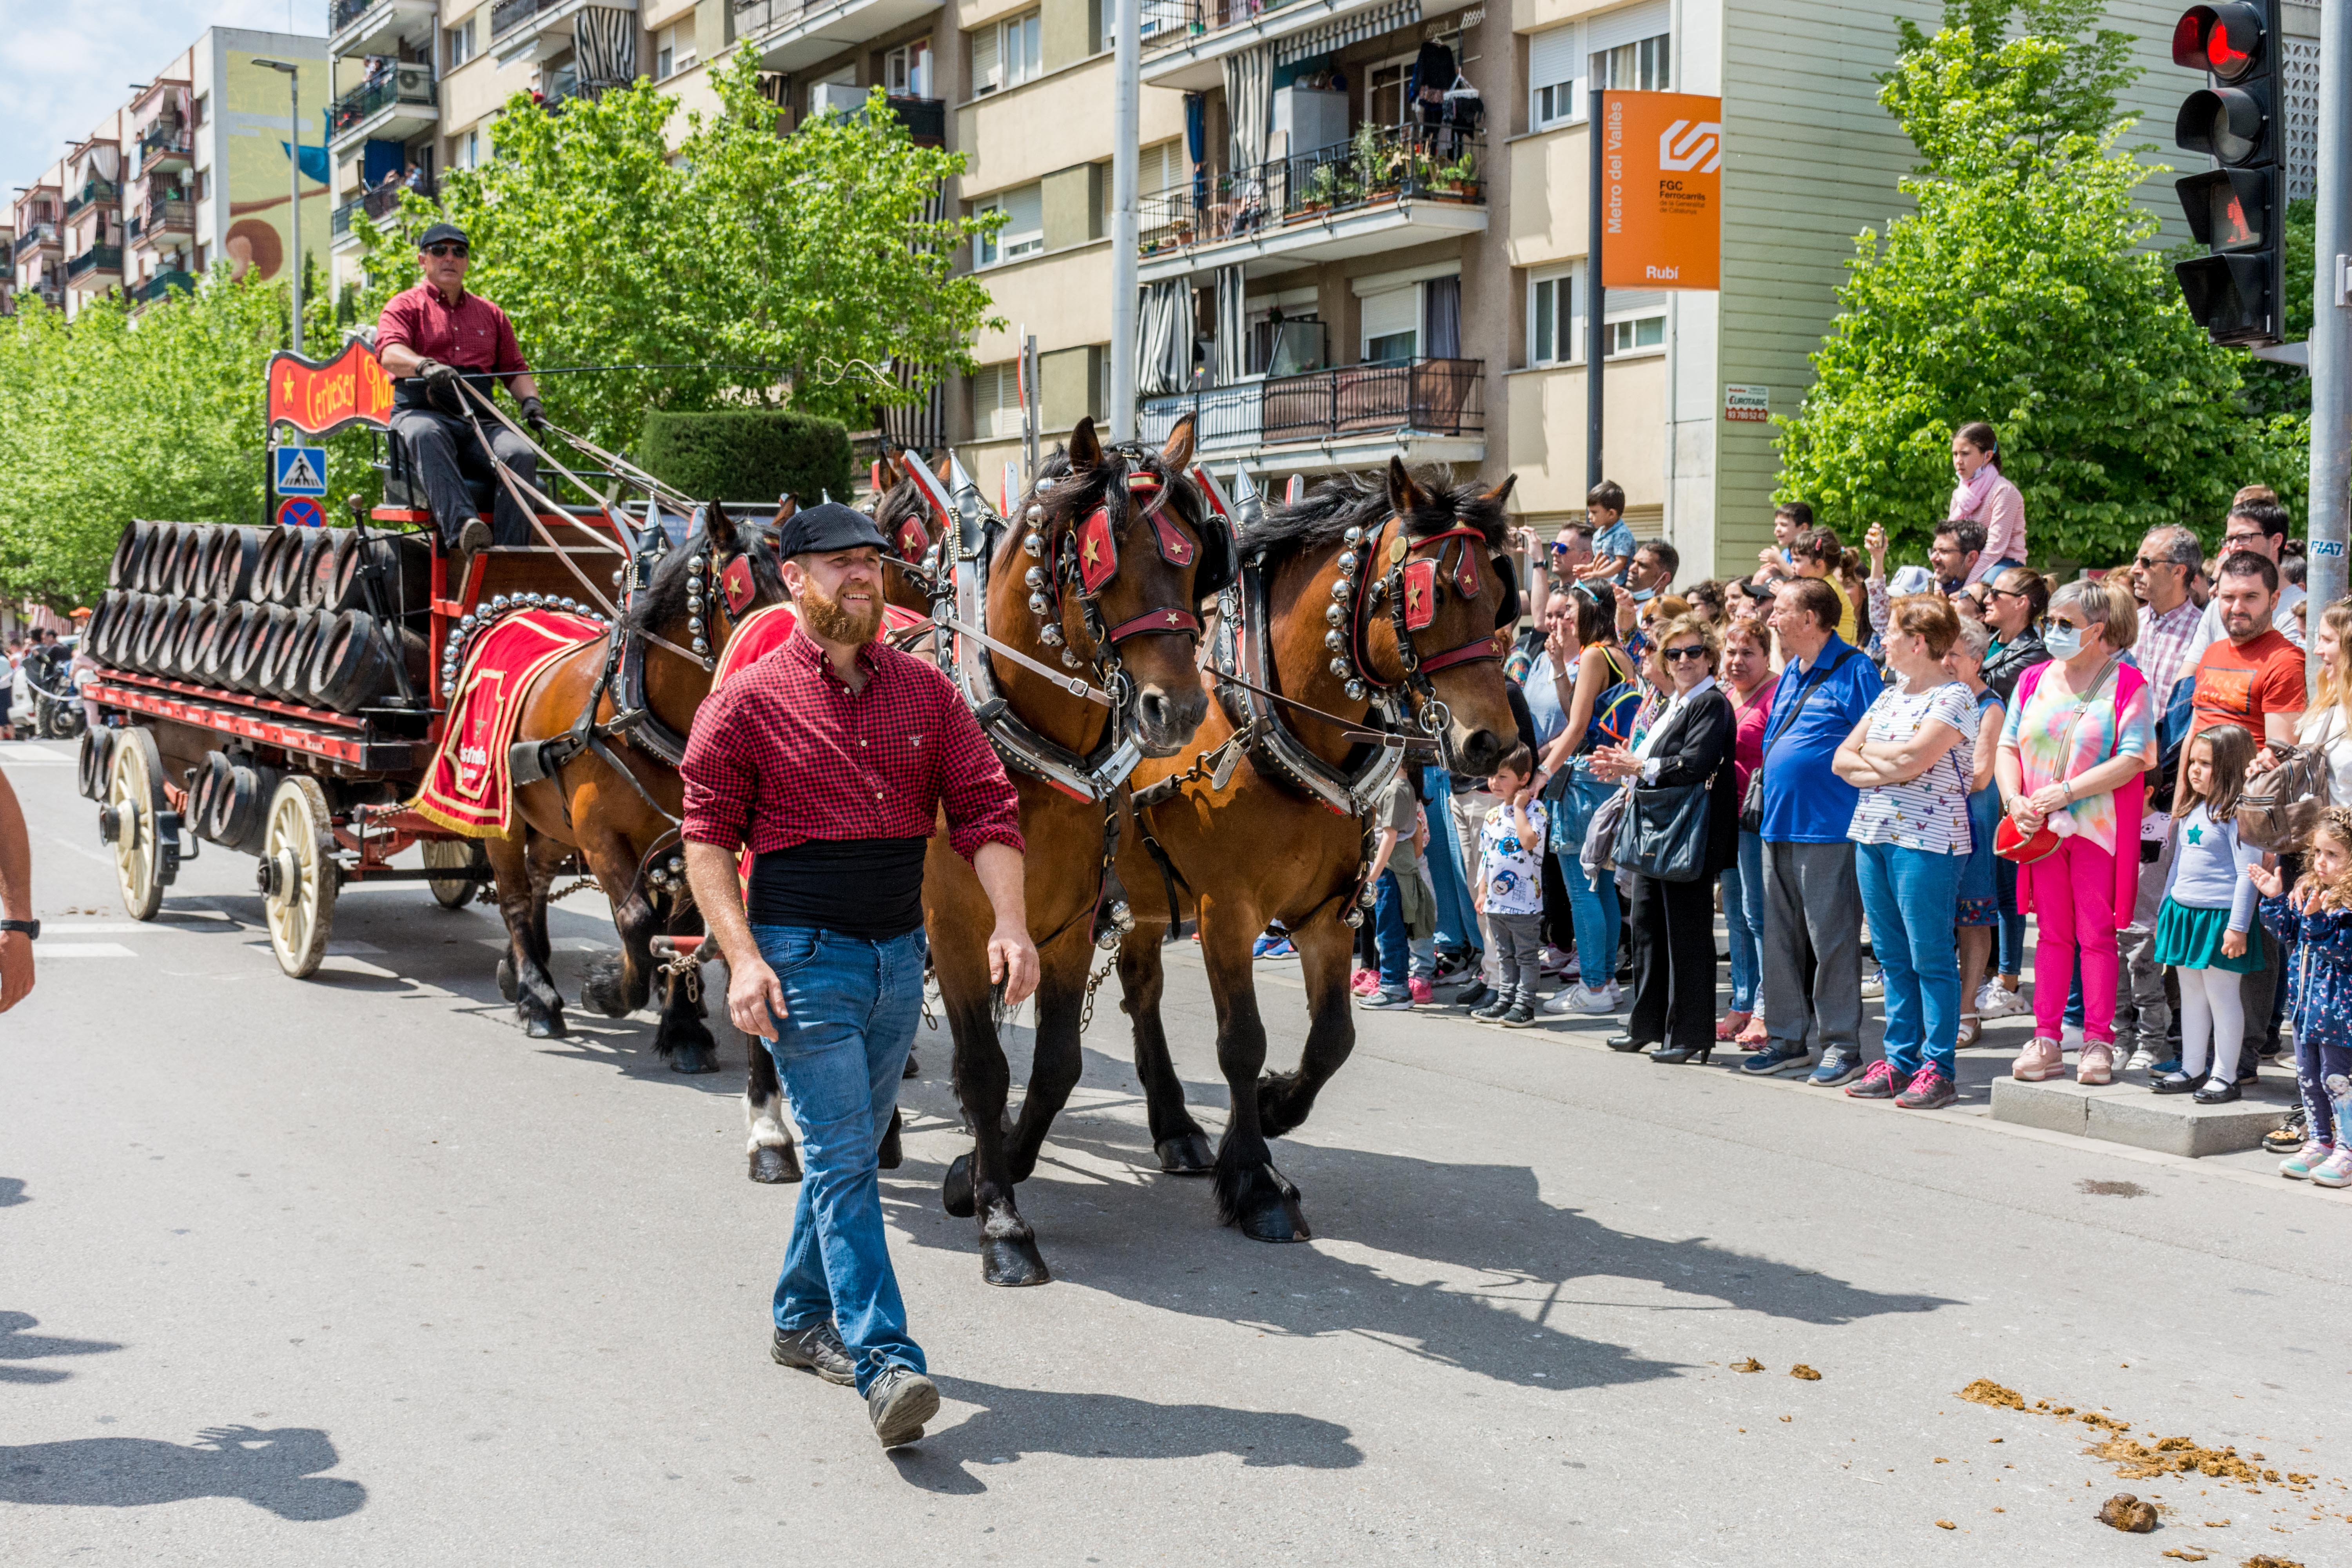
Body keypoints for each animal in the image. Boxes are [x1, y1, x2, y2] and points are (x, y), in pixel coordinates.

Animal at [480, 503, 790, 1067]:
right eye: (741, 591)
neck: (638, 715)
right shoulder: (599, 834)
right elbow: (637, 923)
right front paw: (607, 990)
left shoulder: (690, 834)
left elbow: (681, 928)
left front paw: (683, 1028)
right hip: (502, 815)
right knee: (513, 895)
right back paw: (536, 996)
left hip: (552, 823)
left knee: (536, 881)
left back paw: (520, 970)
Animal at [917, 416, 1223, 1288]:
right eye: (1101, 559)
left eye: (1195, 555)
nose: (1178, 709)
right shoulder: (955, 928)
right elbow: (984, 1069)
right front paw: (1002, 1222)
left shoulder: (1068, 924)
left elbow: (1056, 1066)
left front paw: (983, 1173)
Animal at [1110, 461, 1515, 1241]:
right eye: (1429, 594)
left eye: (1500, 597)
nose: (1494, 743)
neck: (1270, 717)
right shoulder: (1227, 912)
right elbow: (1242, 1042)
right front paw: (1255, 1182)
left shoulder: (1329, 912)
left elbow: (1333, 1038)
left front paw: (1275, 1109)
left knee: (1141, 986)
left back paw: (1176, 1127)